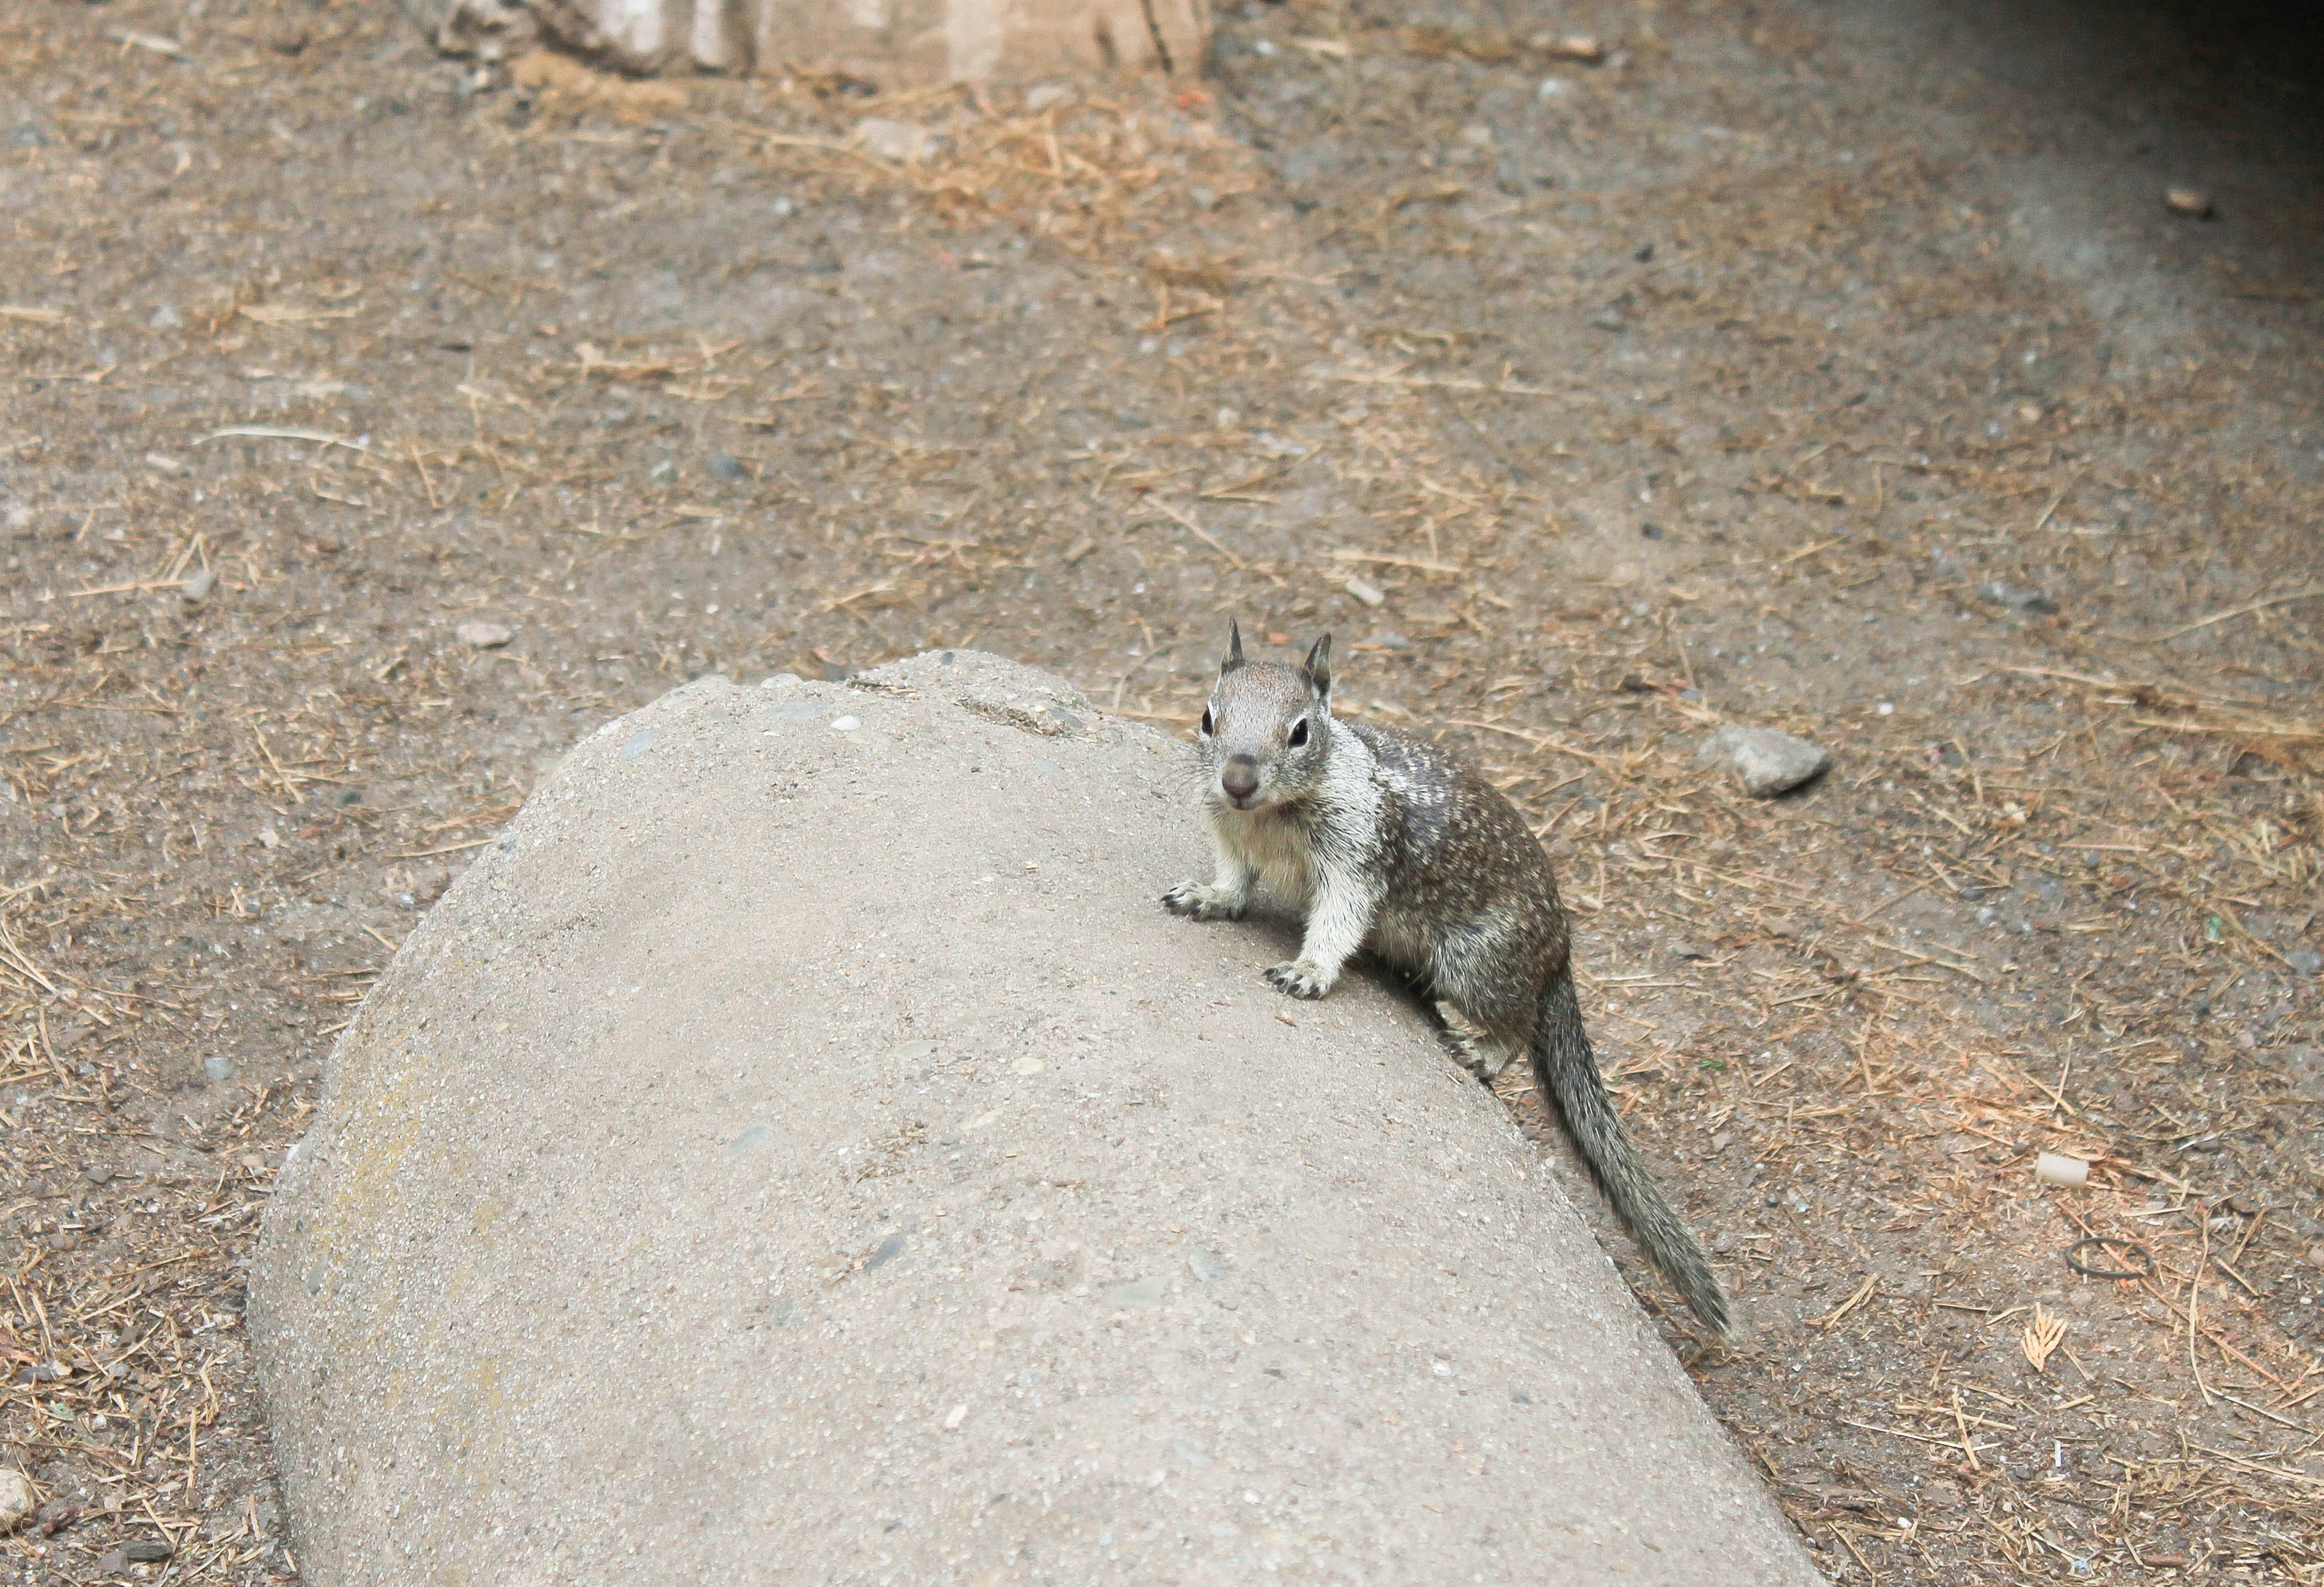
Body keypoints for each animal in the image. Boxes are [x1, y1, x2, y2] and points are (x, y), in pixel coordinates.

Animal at [1157, 622, 1728, 1338]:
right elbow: (1234, 882)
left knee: (1519, 1022)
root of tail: (1561, 950)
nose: (1236, 779)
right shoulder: (1231, 835)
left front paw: (1310, 969)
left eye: (1300, 732)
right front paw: (1206, 896)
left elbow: (1339, 918)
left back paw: (1480, 1050)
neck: (1270, 814)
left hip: (1476, 962)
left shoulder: (1357, 856)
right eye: (1208, 717)